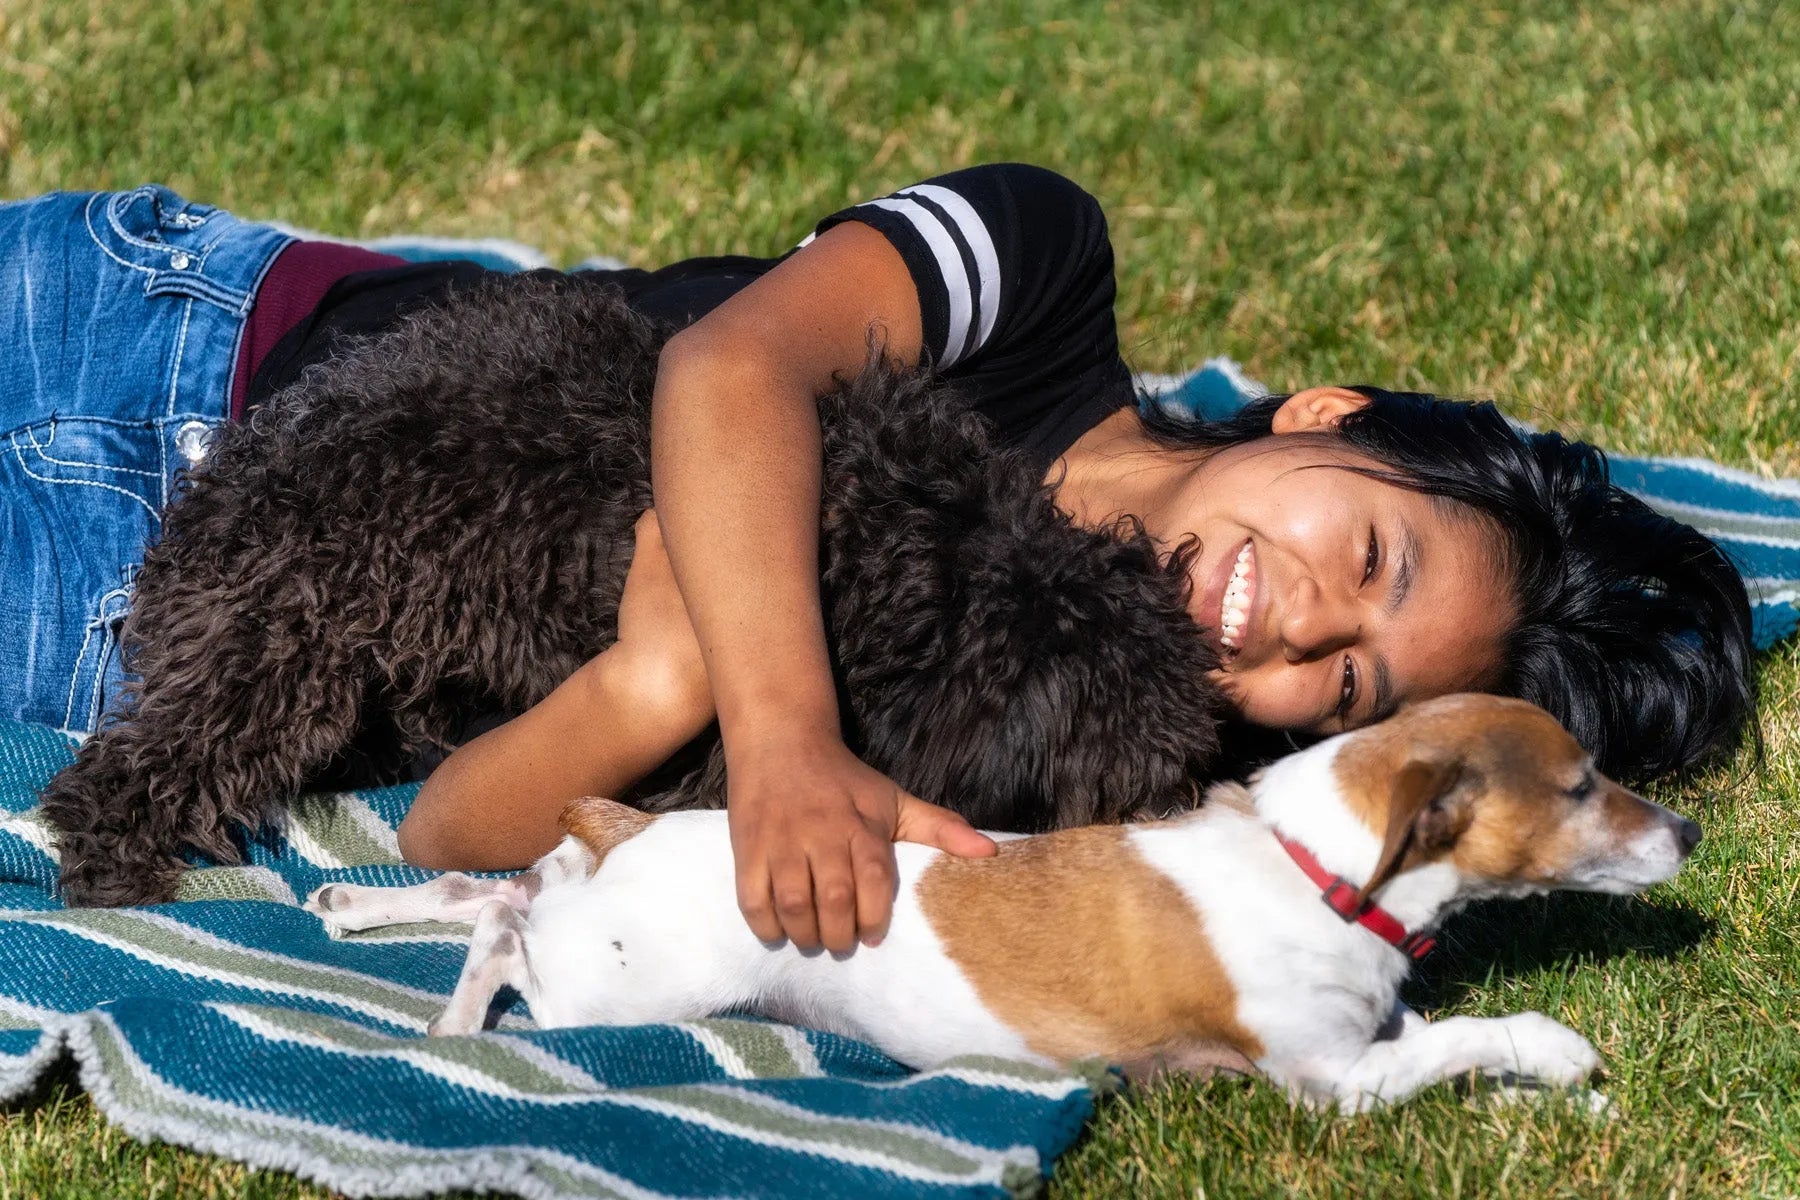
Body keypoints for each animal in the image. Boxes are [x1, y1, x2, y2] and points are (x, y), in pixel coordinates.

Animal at [42, 271, 1231, 906]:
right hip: (281, 649)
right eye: (1128, 765)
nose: (1185, 793)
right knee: (124, 769)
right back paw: (116, 860)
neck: (948, 582)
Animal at [306, 698, 1699, 1115]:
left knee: (497, 884)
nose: (1691, 831)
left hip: (597, 921)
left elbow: (1444, 1033)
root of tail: (645, 827)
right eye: (1583, 787)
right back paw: (455, 1023)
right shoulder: (1333, 1082)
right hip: (622, 989)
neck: (1312, 859)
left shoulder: (1370, 1037)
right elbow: (1466, 1041)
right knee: (507, 930)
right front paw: (1556, 1054)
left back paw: (348, 908)